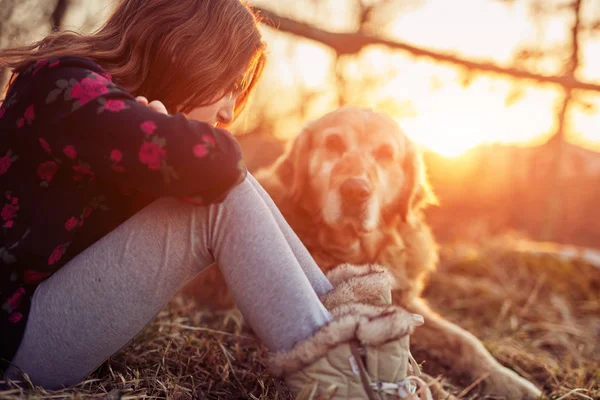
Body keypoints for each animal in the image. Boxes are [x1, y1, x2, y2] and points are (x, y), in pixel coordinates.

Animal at [188, 108, 544, 398]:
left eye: (386, 153)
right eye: (333, 144)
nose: (355, 190)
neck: (354, 251)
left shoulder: (405, 301)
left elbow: (467, 340)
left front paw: (512, 381)